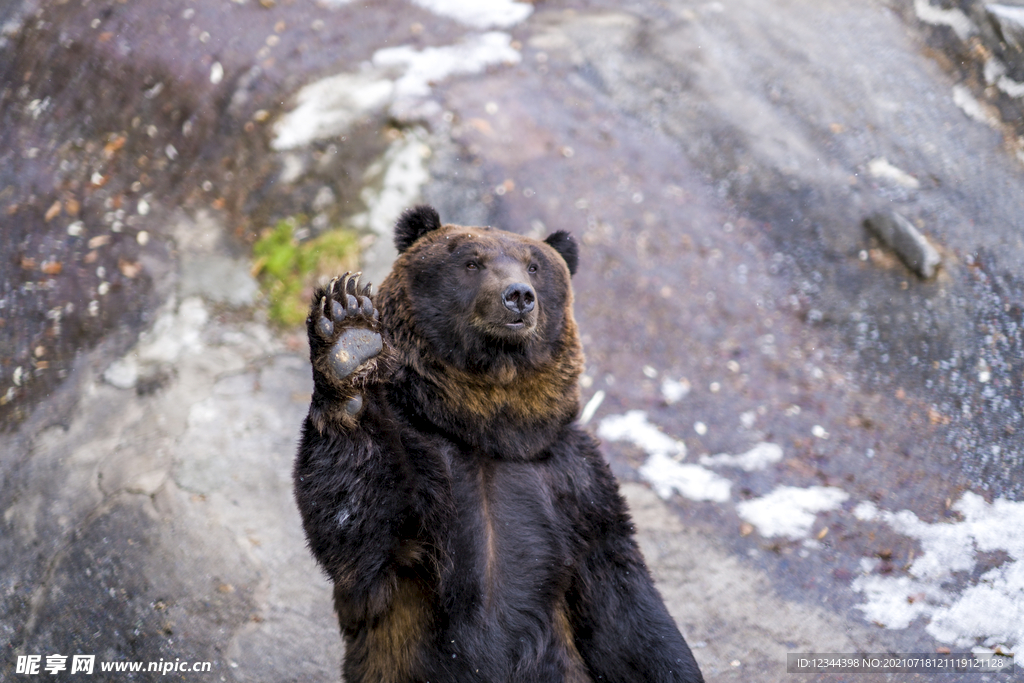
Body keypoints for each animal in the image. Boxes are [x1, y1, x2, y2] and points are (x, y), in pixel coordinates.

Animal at [292, 205, 700, 679]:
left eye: (535, 266)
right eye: (471, 262)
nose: (518, 296)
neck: (489, 431)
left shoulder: (575, 481)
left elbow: (623, 598)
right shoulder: (421, 454)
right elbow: (365, 533)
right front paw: (349, 333)